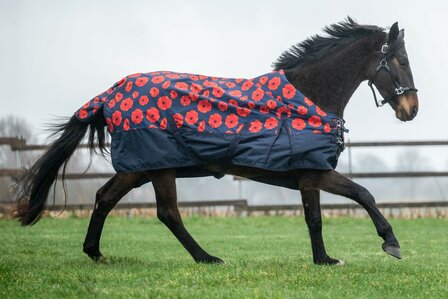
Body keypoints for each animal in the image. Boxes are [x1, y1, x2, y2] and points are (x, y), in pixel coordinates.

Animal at [14, 17, 420, 266]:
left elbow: (324, 213)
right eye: (401, 60)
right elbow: (355, 198)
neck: (308, 98)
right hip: (159, 168)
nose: (411, 109)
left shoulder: (309, 175)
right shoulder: (313, 172)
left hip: (141, 168)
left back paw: (95, 252)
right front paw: (386, 244)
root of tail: (111, 94)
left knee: (104, 198)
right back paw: (207, 257)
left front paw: (328, 258)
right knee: (167, 213)